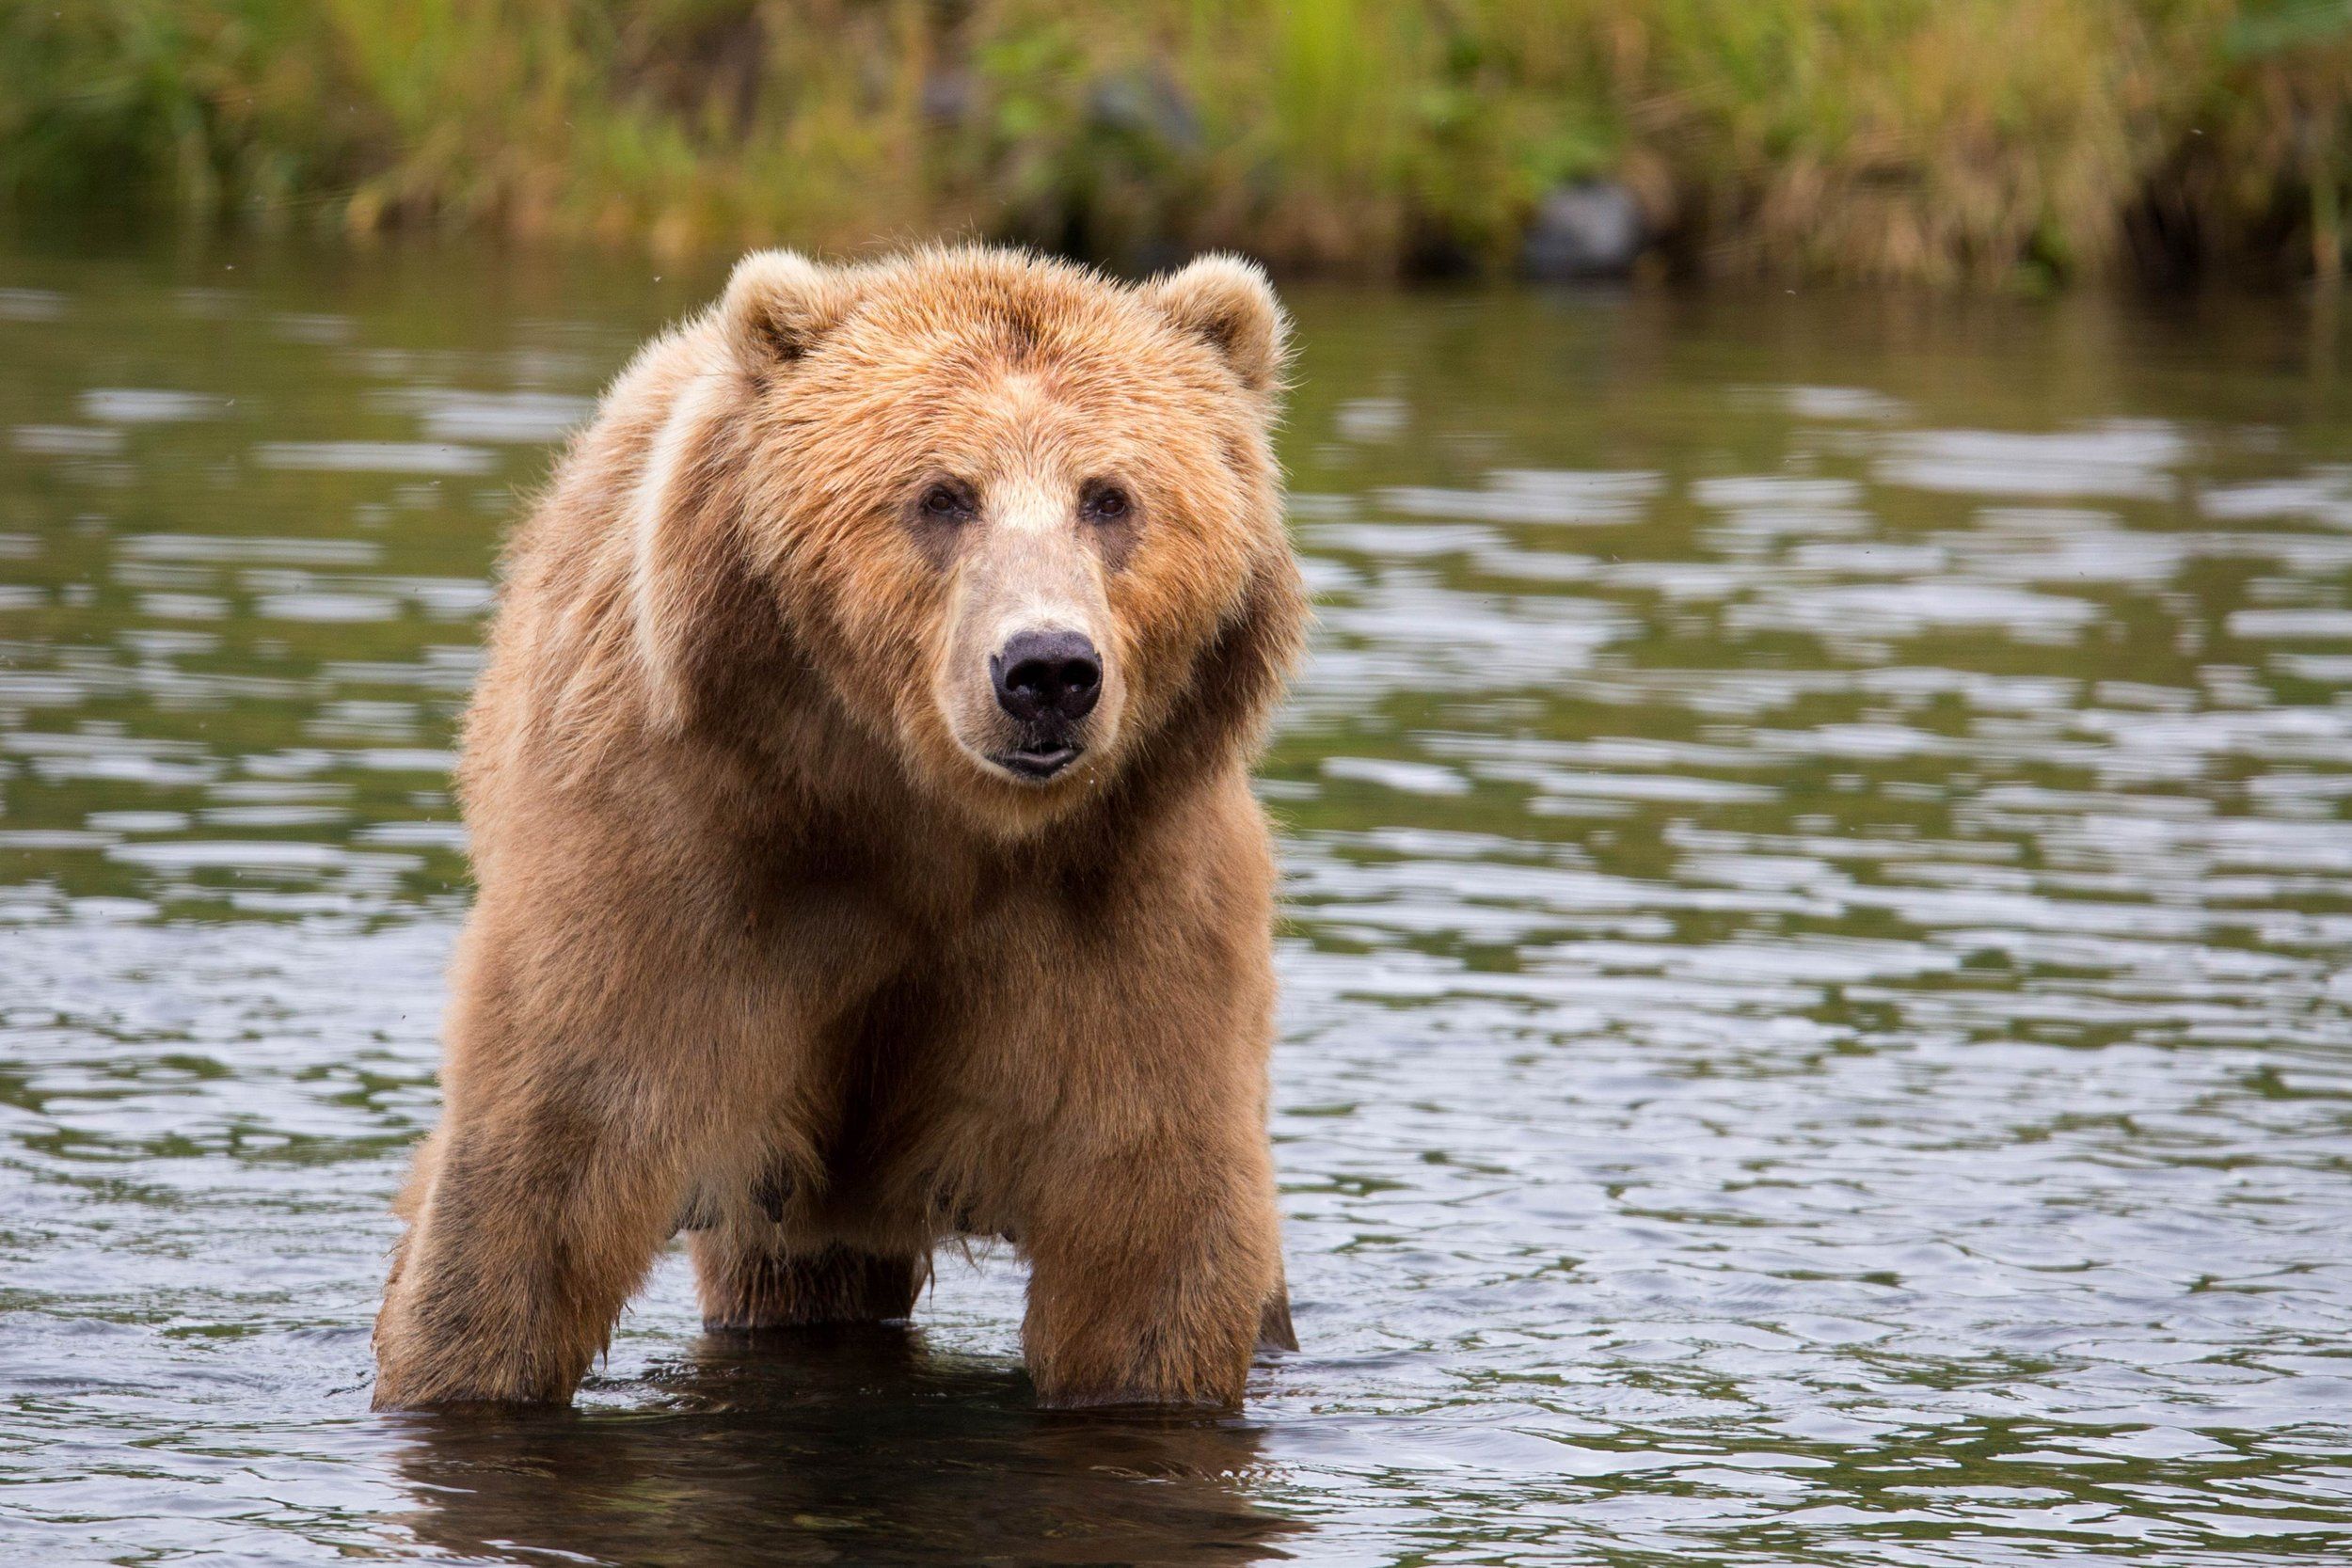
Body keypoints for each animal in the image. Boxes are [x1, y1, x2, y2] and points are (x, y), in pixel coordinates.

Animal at [376, 245, 1317, 1410]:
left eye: (1109, 497)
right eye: (942, 495)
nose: (1047, 669)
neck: (921, 817)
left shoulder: (1126, 897)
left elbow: (1149, 1225)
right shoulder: (678, 860)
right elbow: (542, 1168)